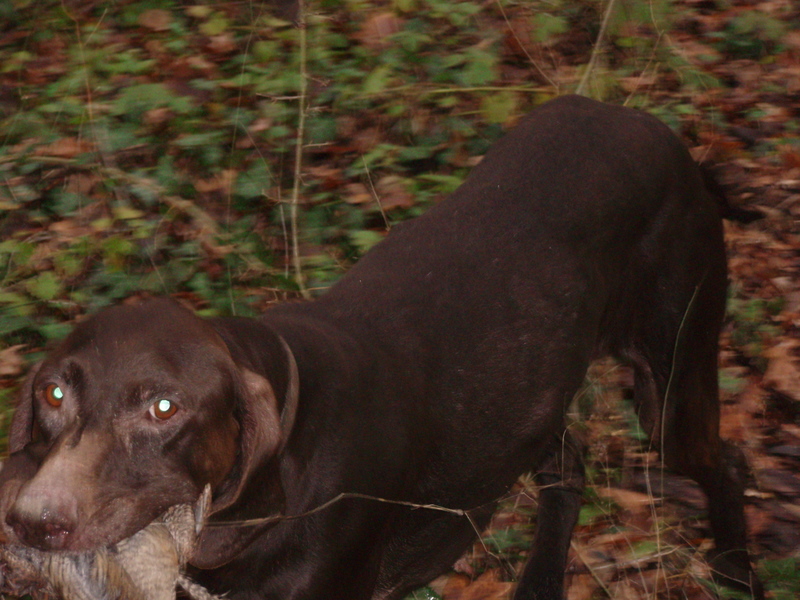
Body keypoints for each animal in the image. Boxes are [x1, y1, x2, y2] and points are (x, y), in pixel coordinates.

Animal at [0, 96, 764, 596]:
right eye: (54, 393)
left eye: (163, 408)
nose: (34, 523)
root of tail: (668, 137)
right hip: (525, 397)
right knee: (566, 460)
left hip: (669, 382)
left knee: (721, 459)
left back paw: (736, 568)